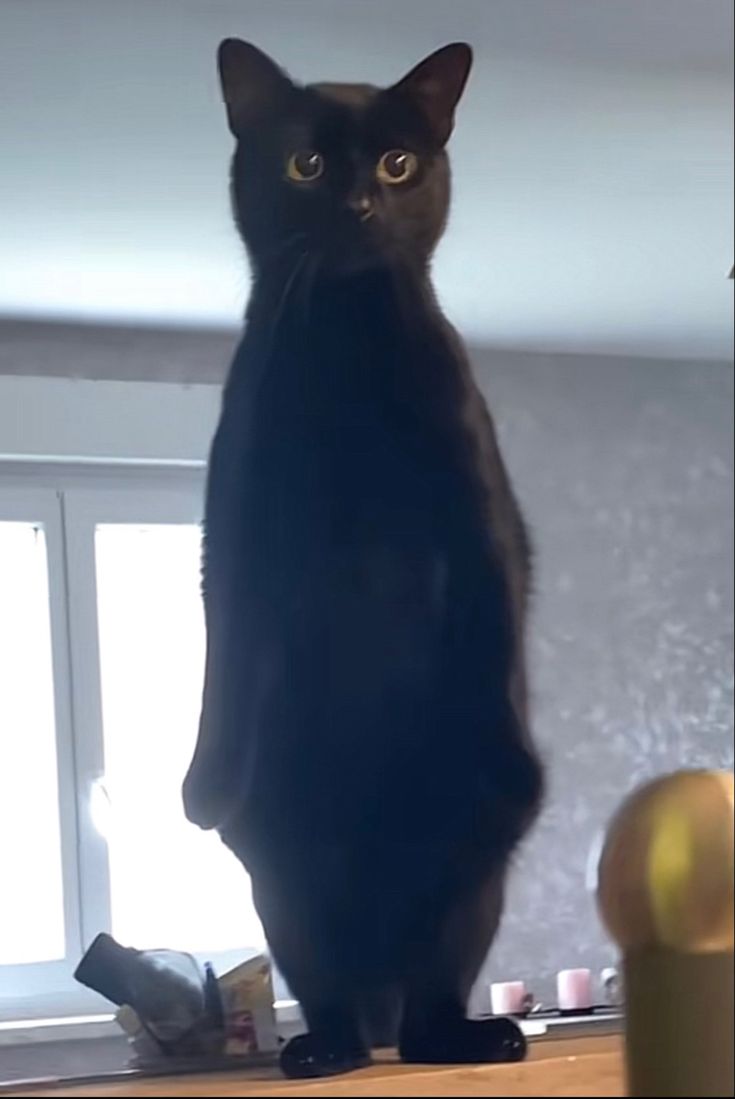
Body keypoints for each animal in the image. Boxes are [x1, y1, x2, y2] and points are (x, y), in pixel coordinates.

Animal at [182, 40, 538, 1072]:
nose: (359, 203)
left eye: (397, 163)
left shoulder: (478, 523)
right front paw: (202, 785)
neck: (345, 339)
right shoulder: (235, 539)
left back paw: (471, 1036)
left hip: (468, 876)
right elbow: (222, 658)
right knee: (326, 977)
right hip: (287, 877)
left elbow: (497, 615)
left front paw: (521, 767)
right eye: (305, 164)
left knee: (431, 988)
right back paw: (325, 1048)